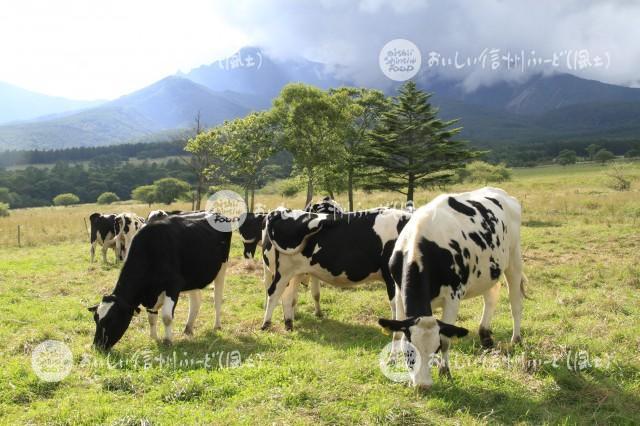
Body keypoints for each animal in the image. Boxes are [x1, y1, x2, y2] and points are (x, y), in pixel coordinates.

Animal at [89, 215, 231, 352]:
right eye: (95, 319)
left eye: (112, 320)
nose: (97, 346)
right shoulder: (151, 295)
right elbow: (151, 318)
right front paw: (154, 338)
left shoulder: (173, 286)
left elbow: (167, 317)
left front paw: (167, 341)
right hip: (194, 276)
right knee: (195, 301)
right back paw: (188, 328)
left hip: (222, 268)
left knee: (217, 299)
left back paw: (217, 326)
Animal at [260, 208, 410, 332]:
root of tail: (281, 212)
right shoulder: (391, 277)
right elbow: (397, 307)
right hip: (283, 272)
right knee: (273, 293)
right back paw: (266, 325)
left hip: (295, 273)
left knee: (287, 296)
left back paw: (289, 324)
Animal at [380, 186, 524, 390]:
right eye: (410, 353)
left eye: (435, 349)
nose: (423, 386)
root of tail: (500, 192)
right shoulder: (399, 292)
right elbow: (396, 333)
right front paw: (393, 361)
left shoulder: (453, 297)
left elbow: (447, 339)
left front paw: (445, 371)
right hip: (488, 270)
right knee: (491, 296)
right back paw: (485, 335)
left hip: (514, 259)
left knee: (515, 303)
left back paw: (515, 339)